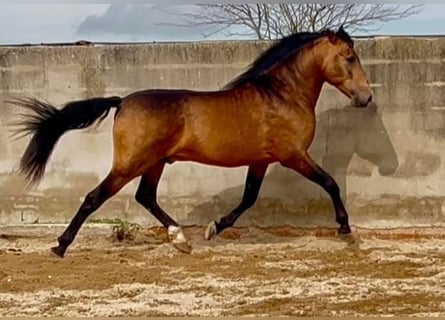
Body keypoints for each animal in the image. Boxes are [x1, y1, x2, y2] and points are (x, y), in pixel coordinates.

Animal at [8, 26, 372, 258]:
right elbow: (330, 183)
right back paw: (60, 246)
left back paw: (180, 239)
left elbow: (248, 199)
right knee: (94, 197)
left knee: (145, 197)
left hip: (154, 163)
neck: (282, 95)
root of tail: (122, 102)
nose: (366, 97)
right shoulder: (292, 154)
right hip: (130, 164)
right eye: (349, 57)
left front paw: (214, 228)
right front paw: (346, 230)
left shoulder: (261, 160)